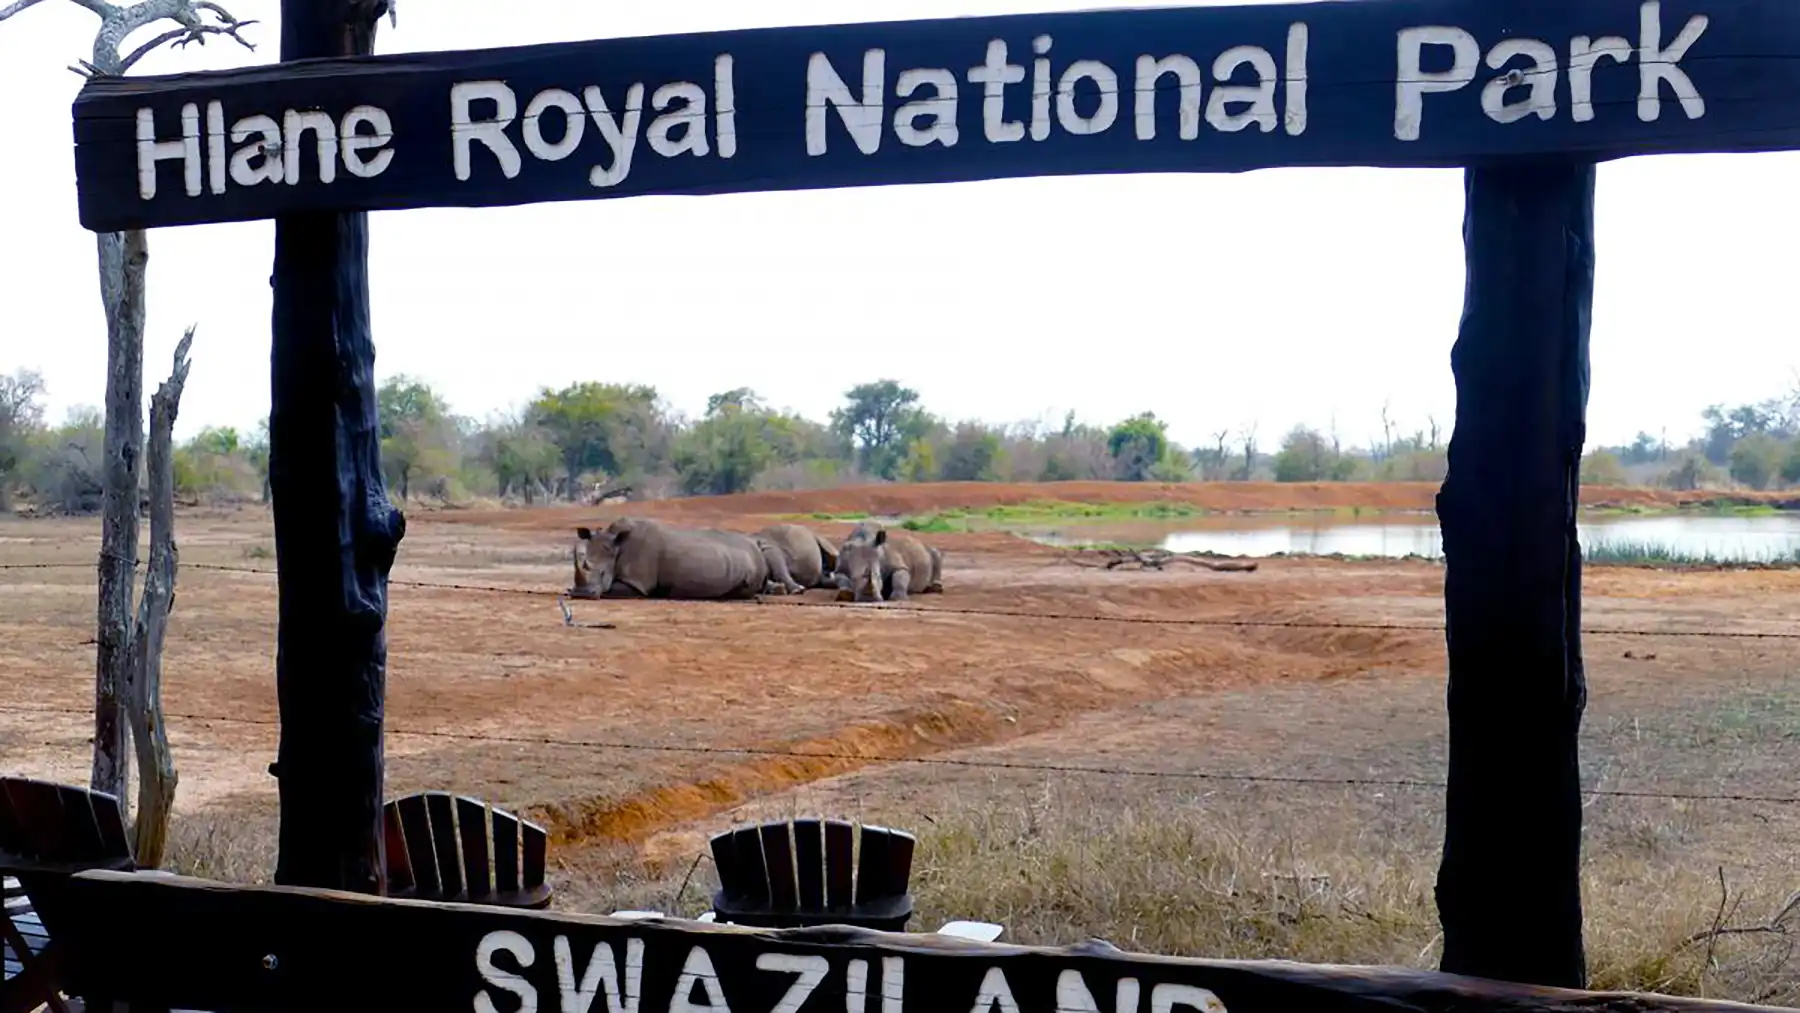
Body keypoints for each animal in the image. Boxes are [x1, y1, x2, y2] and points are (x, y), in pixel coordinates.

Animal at [569, 516, 806, 600]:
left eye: (602, 573)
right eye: (583, 563)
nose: (582, 594)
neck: (617, 546)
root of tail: (753, 545)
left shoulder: (638, 583)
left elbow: (616, 589)